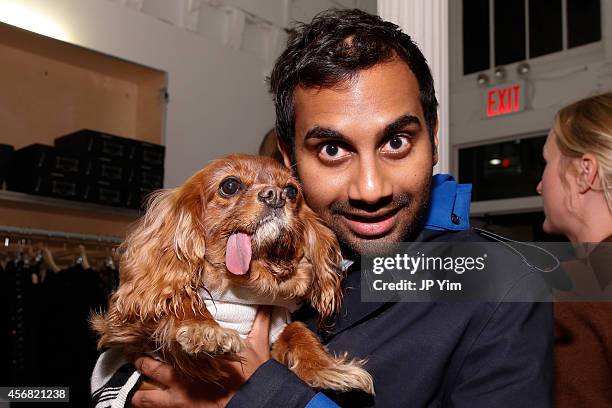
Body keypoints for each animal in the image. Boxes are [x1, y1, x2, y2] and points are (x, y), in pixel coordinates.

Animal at [91, 154, 376, 396]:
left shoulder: (276, 331)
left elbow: (298, 330)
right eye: (230, 185)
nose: (275, 195)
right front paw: (204, 330)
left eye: (292, 191)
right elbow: (181, 300)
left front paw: (328, 369)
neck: (241, 286)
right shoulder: (126, 333)